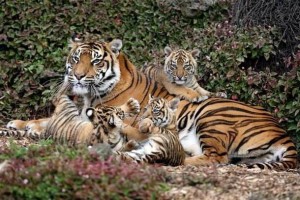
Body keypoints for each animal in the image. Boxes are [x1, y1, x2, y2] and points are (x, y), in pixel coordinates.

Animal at [5, 37, 296, 169]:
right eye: (76, 58)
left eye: (96, 61)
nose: (76, 75)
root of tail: (284, 133)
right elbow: (45, 119)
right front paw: (18, 124)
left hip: (212, 116)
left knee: (218, 158)